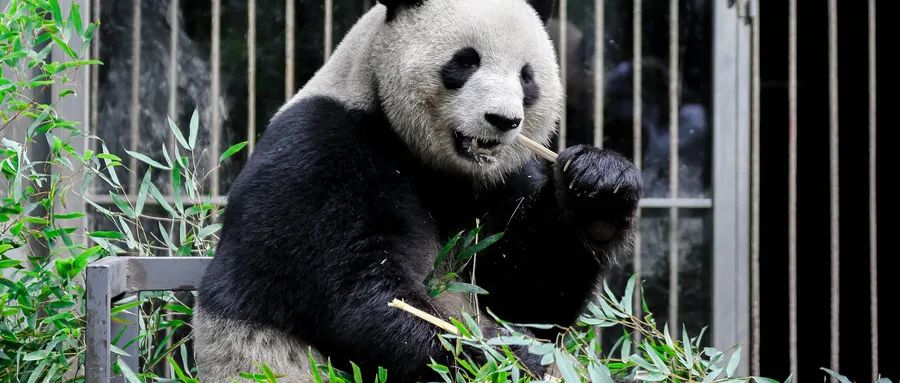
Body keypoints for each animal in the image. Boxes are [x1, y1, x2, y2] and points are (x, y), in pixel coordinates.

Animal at [194, 1, 640, 382]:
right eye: (466, 61)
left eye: (526, 76)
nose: (502, 120)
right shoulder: (321, 155)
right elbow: (359, 295)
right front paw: (504, 356)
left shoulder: (501, 184)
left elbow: (526, 295)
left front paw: (600, 186)